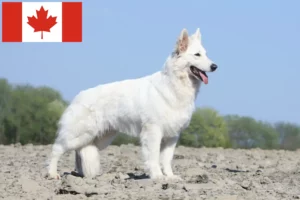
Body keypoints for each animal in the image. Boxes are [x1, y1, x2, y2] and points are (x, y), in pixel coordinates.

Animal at [47, 27, 217, 180]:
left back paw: (81, 175)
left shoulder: (172, 136)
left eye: (206, 54)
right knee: (56, 149)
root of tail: (78, 96)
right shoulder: (153, 132)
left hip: (98, 138)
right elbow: (154, 157)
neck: (174, 85)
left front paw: (170, 177)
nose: (215, 66)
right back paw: (52, 174)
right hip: (78, 135)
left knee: (79, 152)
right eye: (197, 55)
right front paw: (157, 176)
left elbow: (167, 159)